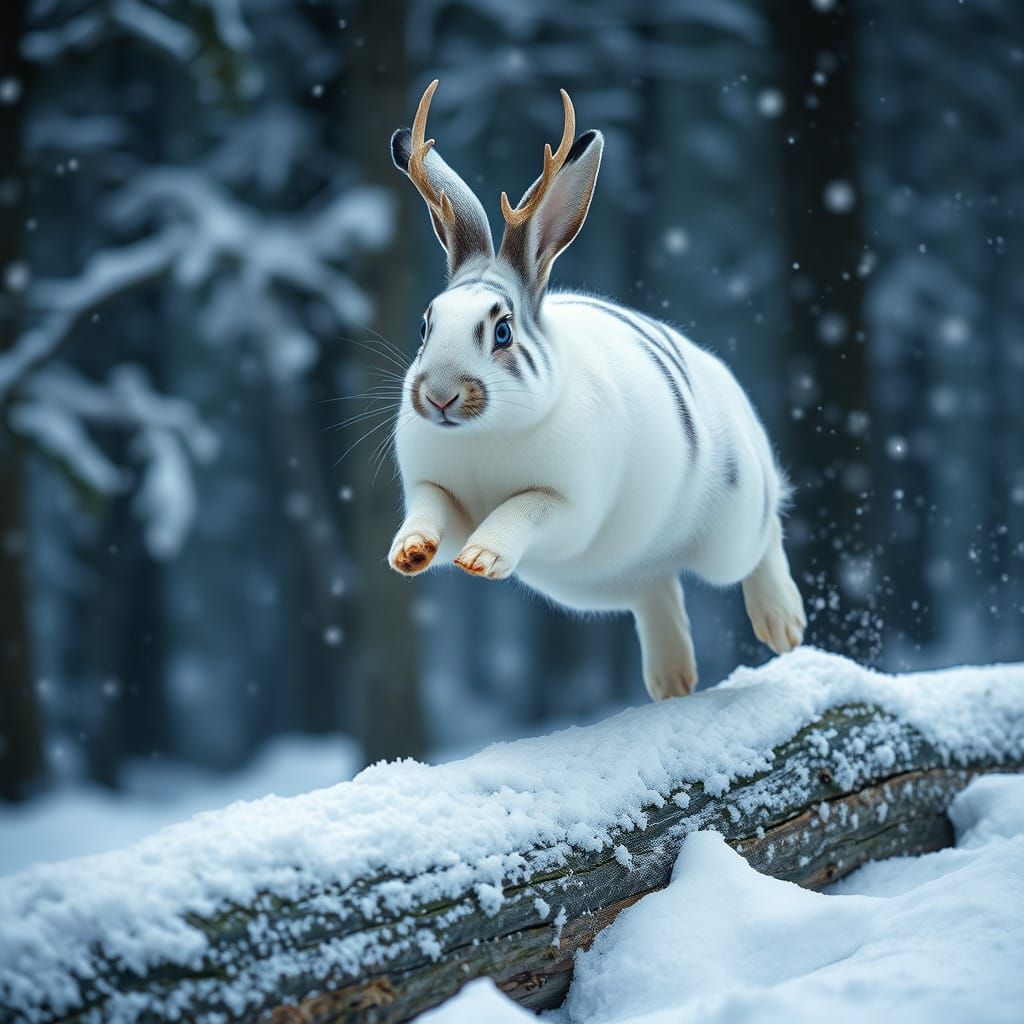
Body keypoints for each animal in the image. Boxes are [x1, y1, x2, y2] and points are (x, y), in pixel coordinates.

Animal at [385, 80, 806, 699]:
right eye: (424, 326)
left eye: (502, 330)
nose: (438, 396)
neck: (485, 435)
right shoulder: (434, 489)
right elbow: (430, 514)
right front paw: (410, 553)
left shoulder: (566, 502)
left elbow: (522, 510)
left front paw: (482, 558)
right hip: (608, 585)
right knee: (658, 592)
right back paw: (672, 683)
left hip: (733, 527)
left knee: (765, 535)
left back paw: (783, 626)